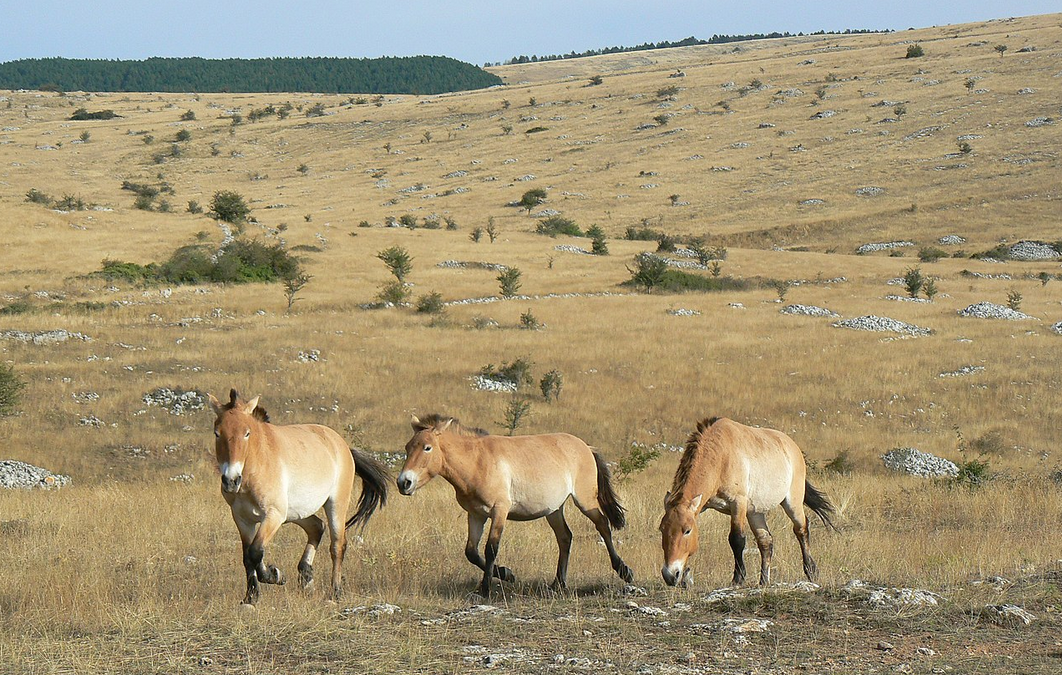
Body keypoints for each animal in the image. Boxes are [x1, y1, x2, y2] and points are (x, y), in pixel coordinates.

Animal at [208, 390, 390, 607]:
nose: (231, 480)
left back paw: (335, 592)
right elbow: (247, 557)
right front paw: (250, 597)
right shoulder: (242, 519)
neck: (258, 464)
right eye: (217, 433)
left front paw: (275, 575)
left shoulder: (273, 515)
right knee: (317, 527)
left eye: (247, 433)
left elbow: (256, 551)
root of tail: (343, 446)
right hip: (297, 513)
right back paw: (306, 578)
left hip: (335, 505)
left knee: (337, 545)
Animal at [397, 411, 628, 594]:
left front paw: (486, 589)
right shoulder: (476, 515)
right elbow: (471, 552)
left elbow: (491, 548)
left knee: (602, 525)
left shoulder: (500, 510)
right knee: (565, 537)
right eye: (408, 447)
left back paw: (624, 571)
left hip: (585, 500)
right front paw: (506, 573)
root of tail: (585, 446)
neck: (477, 462)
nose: (404, 482)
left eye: (427, 448)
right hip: (554, 509)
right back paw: (558, 584)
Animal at [654, 420, 836, 590]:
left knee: (801, 530)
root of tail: (793, 446)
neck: (721, 456)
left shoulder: (738, 504)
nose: (670, 575)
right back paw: (763, 581)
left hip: (792, 503)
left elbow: (736, 539)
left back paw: (811, 571)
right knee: (766, 542)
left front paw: (738, 579)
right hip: (755, 512)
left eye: (687, 530)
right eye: (662, 529)